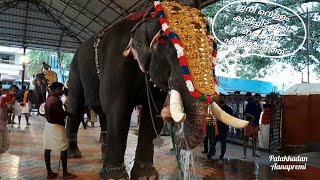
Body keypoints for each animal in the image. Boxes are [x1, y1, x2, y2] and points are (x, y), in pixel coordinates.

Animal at [67, 1, 248, 180]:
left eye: (213, 50)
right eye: (165, 43)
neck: (146, 18)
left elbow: (153, 114)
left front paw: (145, 177)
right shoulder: (116, 61)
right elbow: (118, 111)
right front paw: (115, 178)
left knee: (103, 116)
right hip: (74, 70)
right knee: (76, 109)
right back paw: (74, 154)